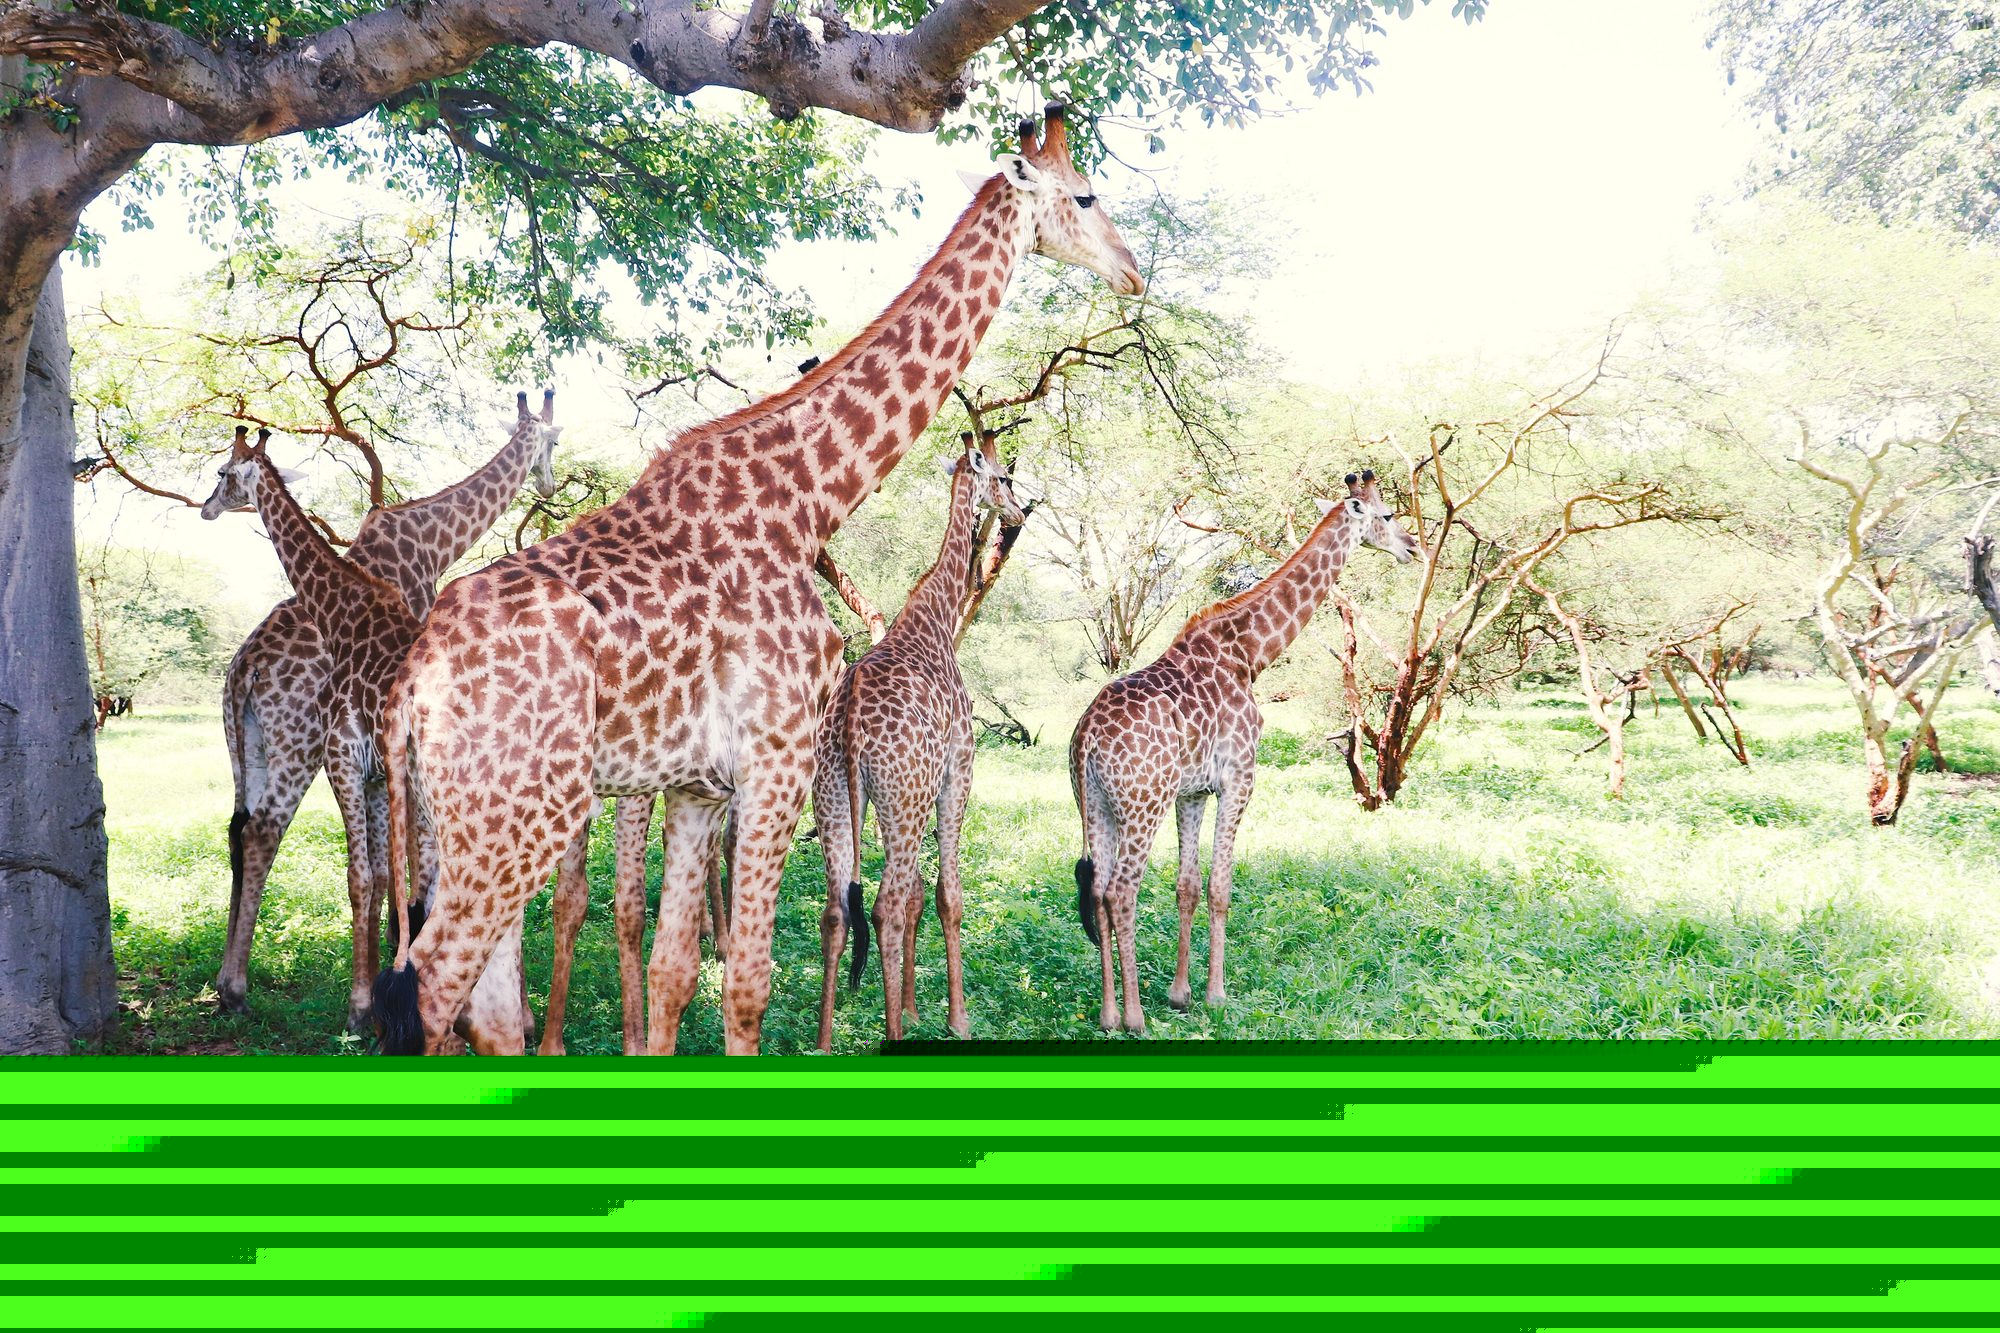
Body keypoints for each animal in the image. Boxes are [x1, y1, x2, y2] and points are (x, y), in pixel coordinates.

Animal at [200, 398, 561, 1032]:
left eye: (221, 472)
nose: (207, 506)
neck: (432, 538)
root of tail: (244, 668)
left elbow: (390, 867)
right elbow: (393, 868)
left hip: (258, 748)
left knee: (245, 832)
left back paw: (232, 986)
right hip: (292, 747)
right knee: (260, 833)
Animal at [813, 433, 1026, 1050]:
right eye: (1003, 477)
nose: (1016, 513)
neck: (937, 616)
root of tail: (851, 719)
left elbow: (913, 898)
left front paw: (909, 1006)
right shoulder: (959, 770)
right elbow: (945, 894)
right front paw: (955, 1018)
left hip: (836, 798)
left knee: (838, 911)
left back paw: (825, 1041)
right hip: (900, 797)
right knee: (883, 906)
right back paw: (891, 1038)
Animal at [1068, 470, 1417, 1035]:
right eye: (1387, 516)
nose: (1411, 547)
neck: (1249, 654)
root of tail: (1087, 738)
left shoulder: (1192, 792)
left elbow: (1188, 885)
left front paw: (1181, 994)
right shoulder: (1239, 779)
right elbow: (1220, 885)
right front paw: (1215, 995)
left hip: (1095, 804)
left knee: (1097, 889)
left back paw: (1107, 1014)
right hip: (1142, 805)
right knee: (1121, 891)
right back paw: (1135, 1018)